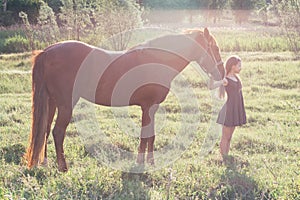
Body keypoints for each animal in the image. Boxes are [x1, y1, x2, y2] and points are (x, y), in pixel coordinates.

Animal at [25, 28, 223, 172]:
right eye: (215, 48)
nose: (220, 74)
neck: (156, 61)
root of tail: (47, 51)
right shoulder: (148, 107)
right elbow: (145, 135)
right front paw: (141, 163)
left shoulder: (151, 108)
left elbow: (150, 135)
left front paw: (150, 162)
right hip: (66, 105)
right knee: (57, 132)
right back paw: (63, 167)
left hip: (51, 103)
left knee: (44, 130)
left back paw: (44, 163)